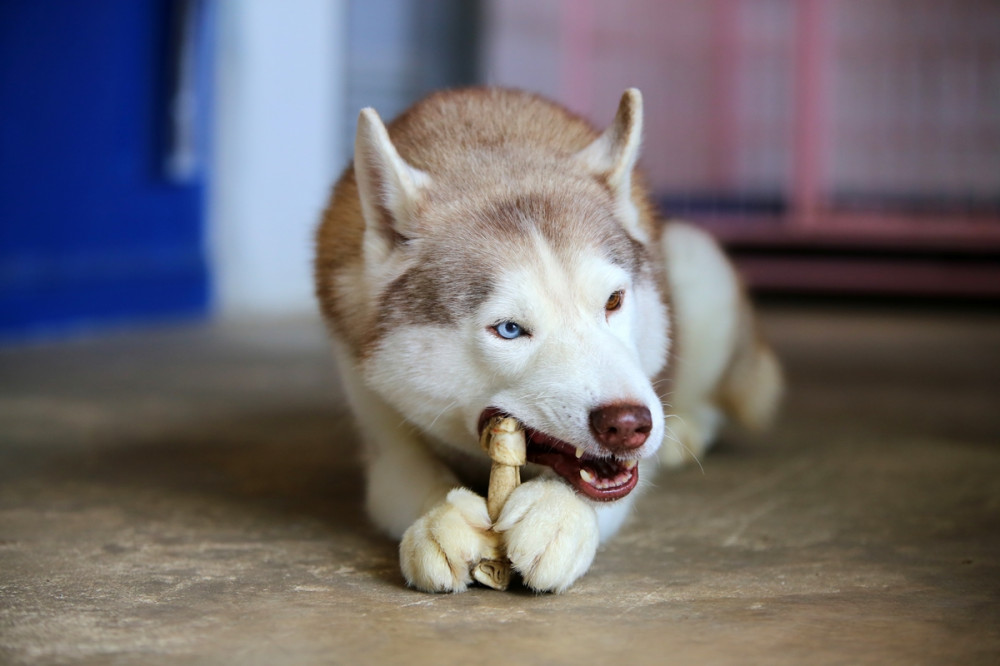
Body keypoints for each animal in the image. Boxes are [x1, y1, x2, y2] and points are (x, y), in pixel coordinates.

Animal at [312, 87, 780, 592]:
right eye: (509, 329)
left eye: (613, 300)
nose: (629, 425)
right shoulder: (378, 420)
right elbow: (411, 475)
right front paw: (440, 520)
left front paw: (558, 515)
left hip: (699, 263)